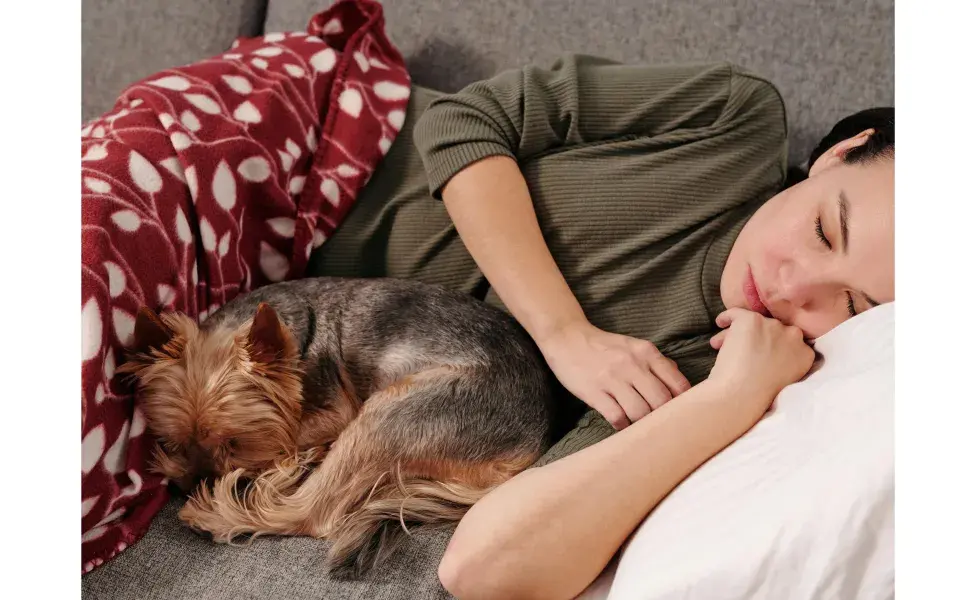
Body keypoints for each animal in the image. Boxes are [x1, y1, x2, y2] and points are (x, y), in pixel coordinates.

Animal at [118, 278, 552, 576]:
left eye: (236, 444)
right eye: (172, 442)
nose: (191, 483)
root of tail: (533, 441)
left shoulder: (337, 410)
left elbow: (293, 439)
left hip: (395, 412)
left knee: (310, 513)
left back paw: (218, 515)